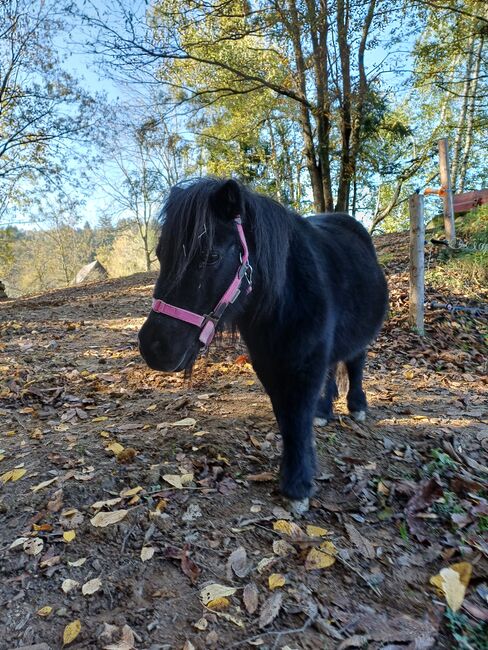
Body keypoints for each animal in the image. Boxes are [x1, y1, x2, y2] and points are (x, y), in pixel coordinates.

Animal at [138, 177, 388, 512]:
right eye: (160, 254)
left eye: (211, 256)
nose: (153, 347)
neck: (284, 298)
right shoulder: (269, 364)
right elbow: (286, 416)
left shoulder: (303, 365)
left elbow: (297, 416)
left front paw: (298, 485)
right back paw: (325, 410)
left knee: (355, 362)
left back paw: (357, 406)